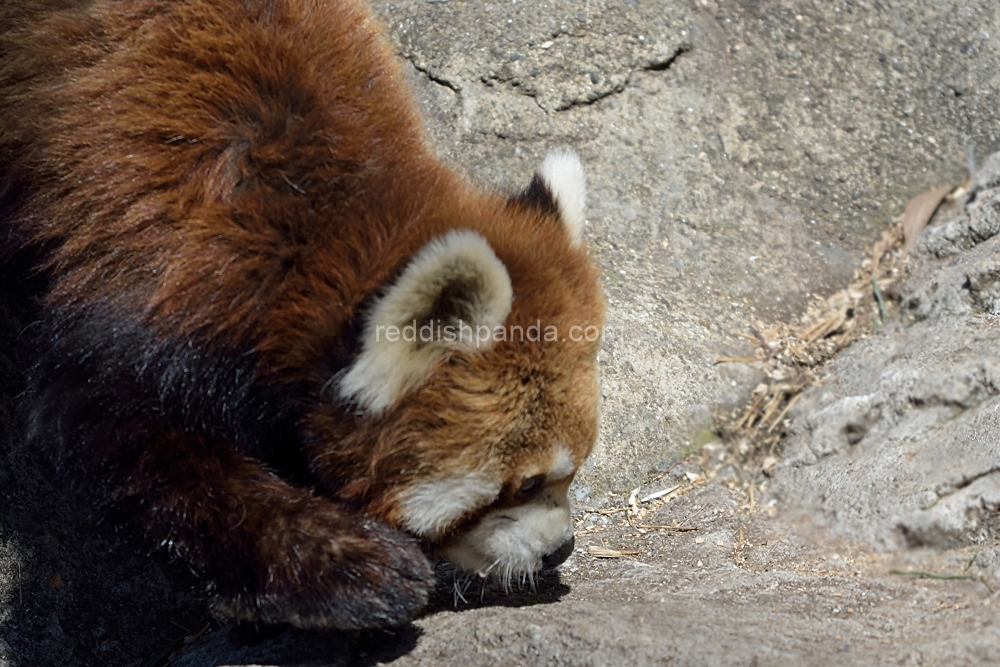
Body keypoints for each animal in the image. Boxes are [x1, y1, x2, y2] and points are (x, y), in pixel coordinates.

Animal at [0, 0, 604, 632]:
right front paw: (358, 569)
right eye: (524, 482)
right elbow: (117, 434)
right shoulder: (152, 261)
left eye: (573, 469)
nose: (560, 549)